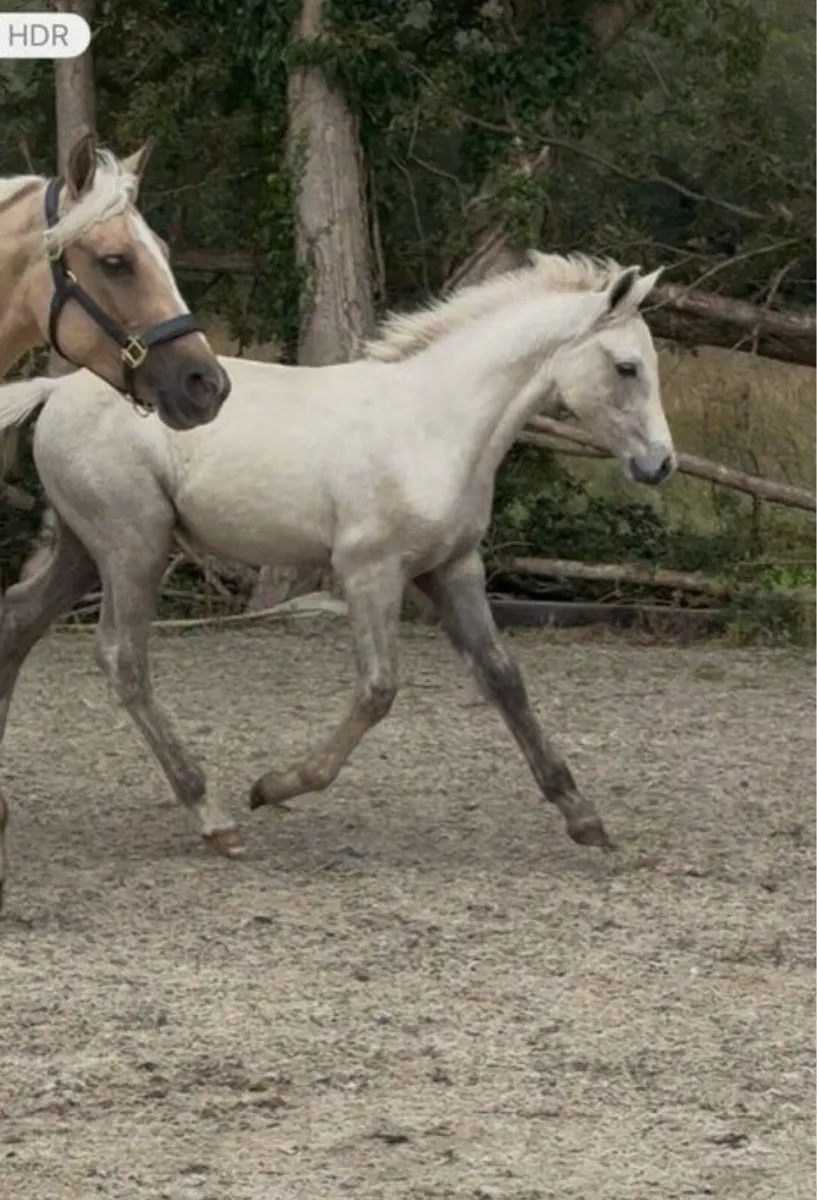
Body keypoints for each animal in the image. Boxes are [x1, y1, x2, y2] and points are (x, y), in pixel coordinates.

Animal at [0, 251, 675, 906]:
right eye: (626, 367)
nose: (660, 464)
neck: (434, 425)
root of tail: (57, 388)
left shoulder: (453, 569)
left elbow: (504, 679)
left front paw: (584, 817)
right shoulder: (370, 571)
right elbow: (378, 690)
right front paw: (272, 787)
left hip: (82, 548)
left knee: (18, 620)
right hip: (133, 546)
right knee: (122, 658)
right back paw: (214, 816)